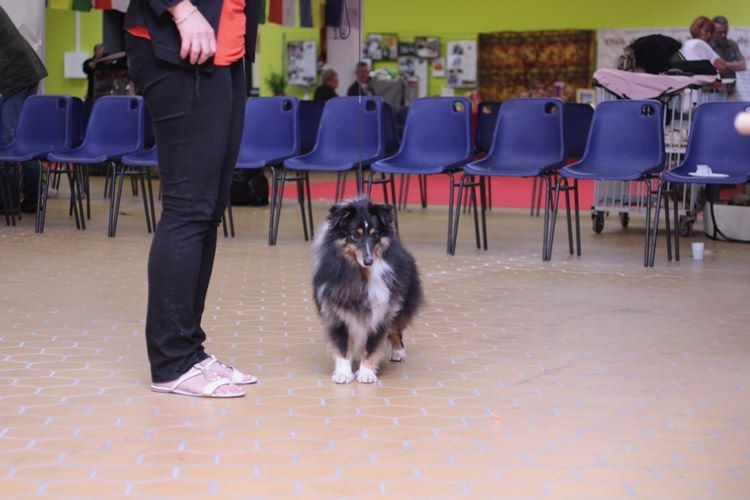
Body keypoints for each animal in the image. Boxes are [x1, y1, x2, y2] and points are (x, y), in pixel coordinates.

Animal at [312, 195, 424, 382]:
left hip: (401, 304)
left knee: (395, 329)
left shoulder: (379, 311)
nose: (369, 261)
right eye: (354, 236)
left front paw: (366, 373)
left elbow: (371, 345)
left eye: (375, 235)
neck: (361, 275)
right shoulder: (336, 313)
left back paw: (398, 352)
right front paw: (343, 373)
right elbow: (342, 346)